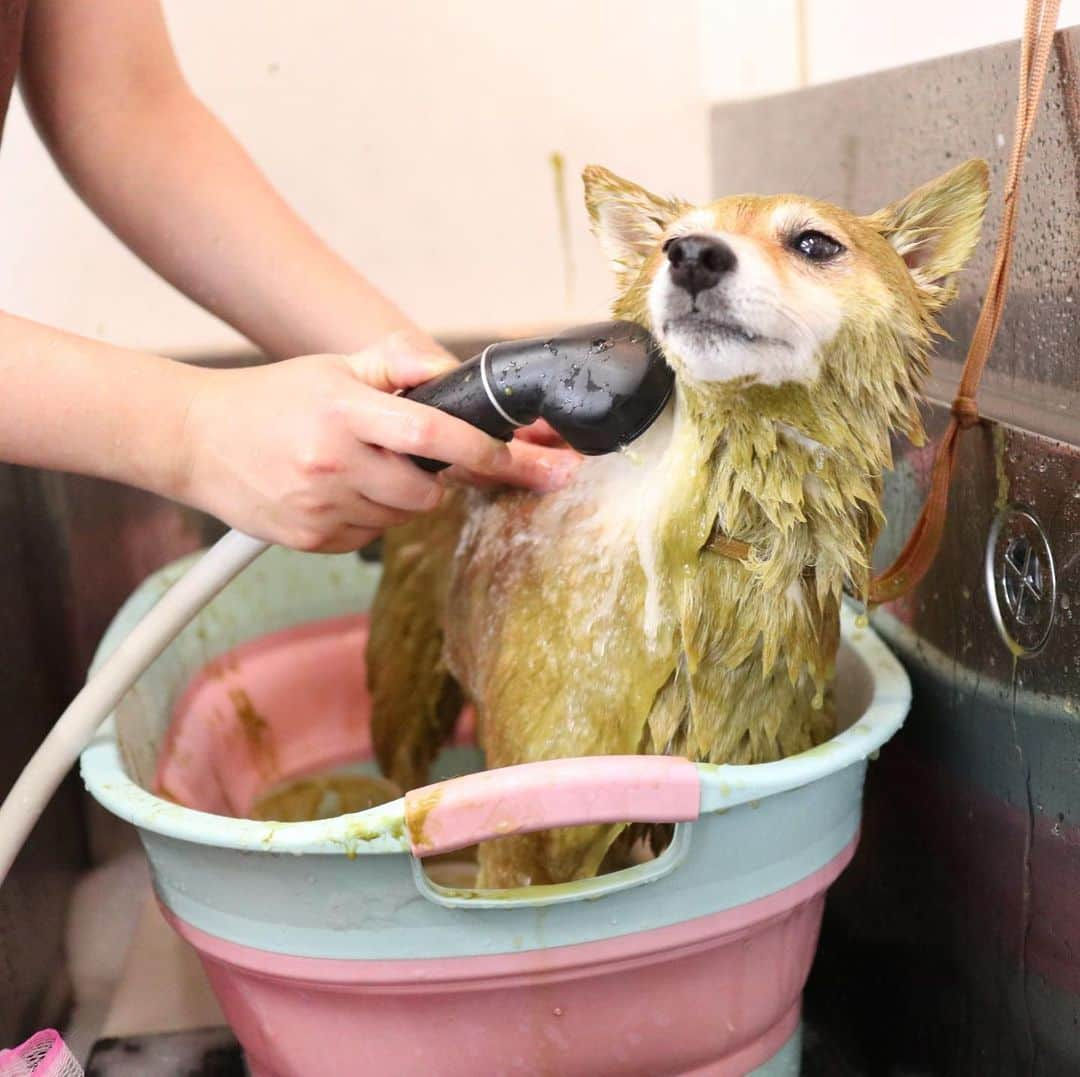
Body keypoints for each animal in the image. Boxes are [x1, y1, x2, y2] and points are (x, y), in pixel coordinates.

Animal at [369, 157, 989, 881]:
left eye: (814, 243)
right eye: (673, 240)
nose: (692, 255)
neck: (722, 541)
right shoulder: (529, 840)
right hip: (404, 680)